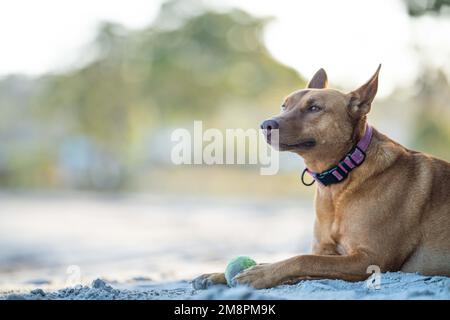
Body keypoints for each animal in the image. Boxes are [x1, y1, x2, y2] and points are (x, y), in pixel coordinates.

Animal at [193, 66, 450, 288]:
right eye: (284, 105)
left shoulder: (372, 258)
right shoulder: (325, 251)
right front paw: (219, 274)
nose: (265, 124)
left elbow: (302, 259)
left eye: (314, 108)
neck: (341, 178)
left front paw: (258, 273)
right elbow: (300, 260)